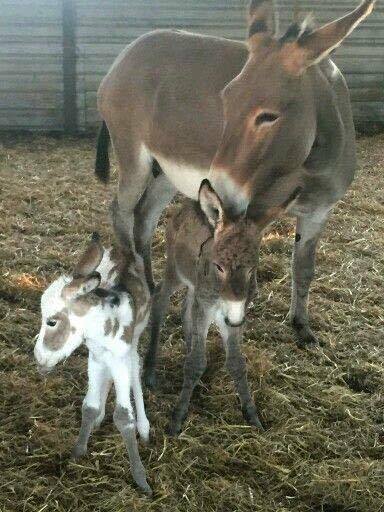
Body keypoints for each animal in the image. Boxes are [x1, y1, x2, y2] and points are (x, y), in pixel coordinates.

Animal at [33, 230, 152, 494]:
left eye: (52, 321)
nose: (40, 357)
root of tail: (123, 249)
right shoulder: (95, 358)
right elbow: (88, 406)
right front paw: (77, 453)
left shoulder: (119, 358)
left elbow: (123, 417)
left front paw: (141, 478)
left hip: (136, 338)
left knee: (136, 367)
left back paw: (144, 426)